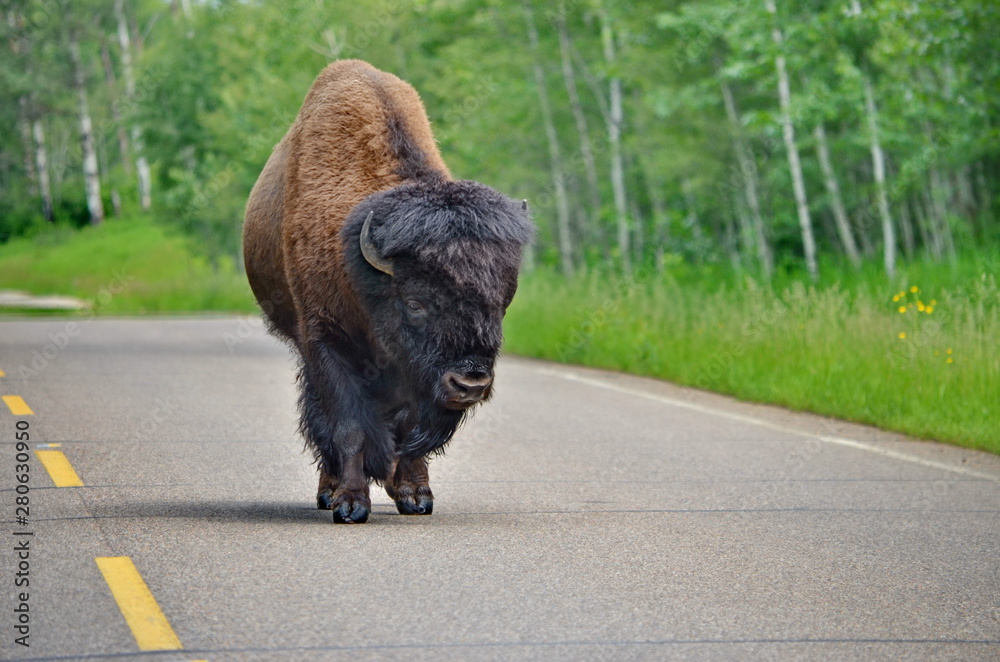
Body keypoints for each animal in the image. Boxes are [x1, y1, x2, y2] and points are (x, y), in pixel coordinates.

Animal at [243, 59, 536, 524]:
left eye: (501, 303)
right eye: (415, 302)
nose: (470, 383)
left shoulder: (415, 376)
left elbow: (409, 430)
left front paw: (415, 496)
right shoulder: (325, 342)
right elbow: (348, 427)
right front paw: (350, 503)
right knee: (321, 418)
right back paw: (328, 492)